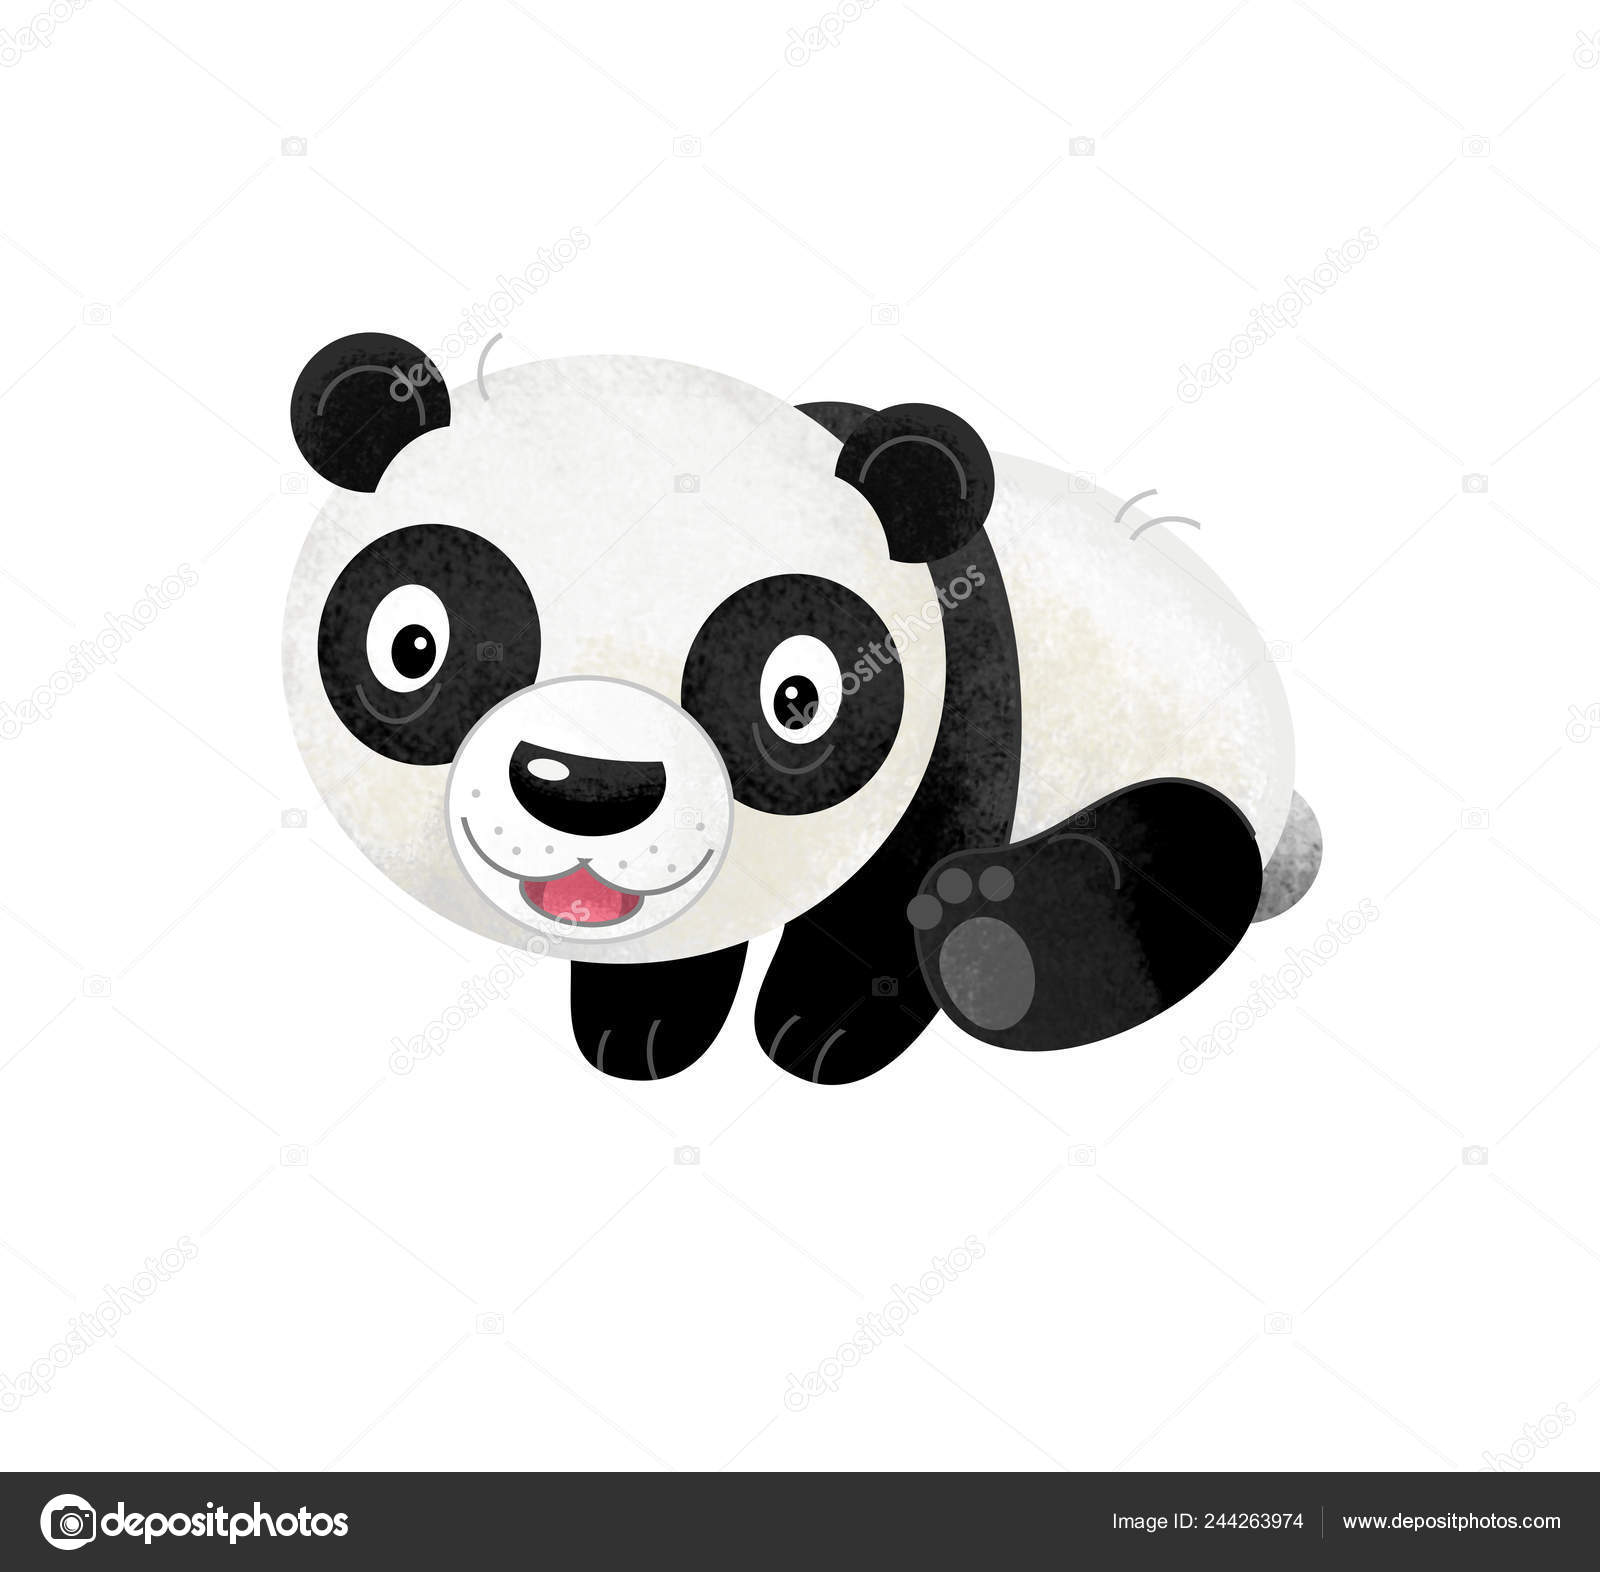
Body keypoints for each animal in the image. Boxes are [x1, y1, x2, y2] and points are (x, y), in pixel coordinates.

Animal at [283, 333, 1320, 1085]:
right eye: (414, 647)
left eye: (796, 699)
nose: (587, 788)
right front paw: (641, 1029)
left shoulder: (969, 676)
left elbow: (897, 877)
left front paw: (825, 1033)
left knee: (1188, 854)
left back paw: (996, 940)